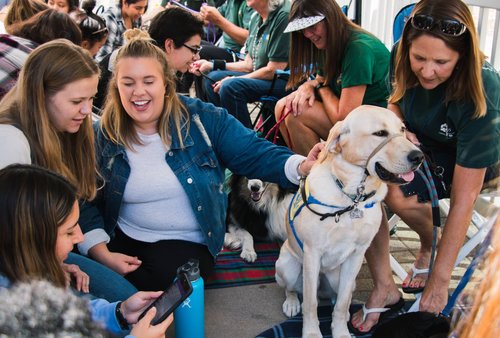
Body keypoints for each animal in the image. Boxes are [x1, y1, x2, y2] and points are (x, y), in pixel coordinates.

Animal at [276, 105, 424, 338]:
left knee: (336, 299)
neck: (352, 197)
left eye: (402, 130)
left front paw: (340, 331)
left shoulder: (356, 255)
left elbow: (343, 302)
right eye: (380, 133)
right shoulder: (312, 253)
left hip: (341, 277)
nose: (419, 156)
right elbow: (310, 303)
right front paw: (311, 332)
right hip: (288, 267)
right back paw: (291, 303)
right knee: (293, 289)